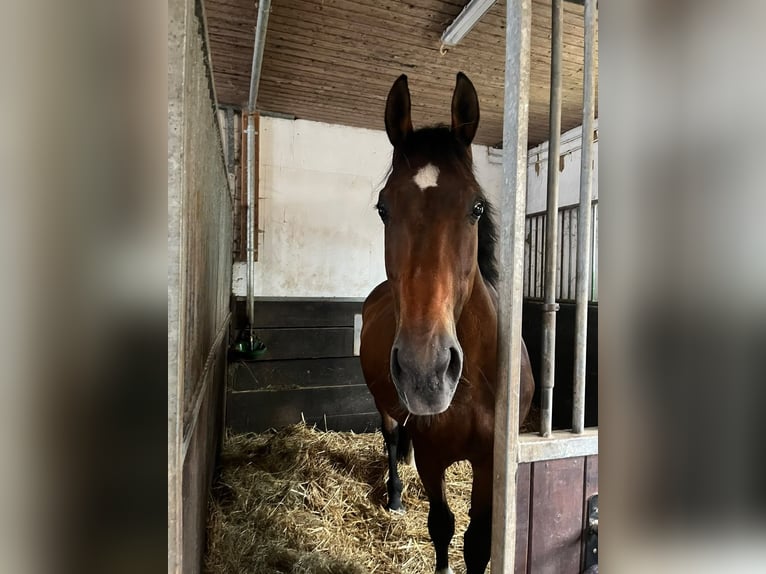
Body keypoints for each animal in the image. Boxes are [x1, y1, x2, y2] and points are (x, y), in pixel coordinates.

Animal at [359, 72, 535, 574]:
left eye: (476, 207)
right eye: (383, 208)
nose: (426, 372)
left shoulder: (490, 462)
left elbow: (477, 541)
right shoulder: (434, 457)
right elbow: (442, 526)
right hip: (385, 406)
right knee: (391, 438)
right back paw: (397, 497)